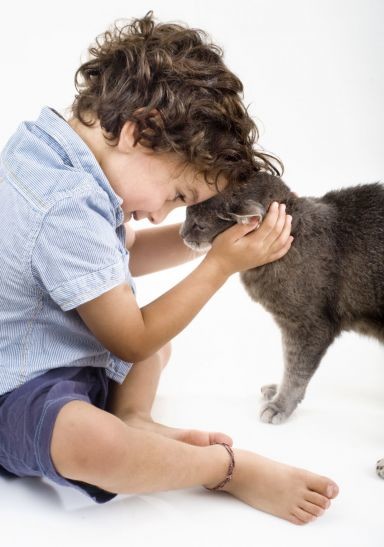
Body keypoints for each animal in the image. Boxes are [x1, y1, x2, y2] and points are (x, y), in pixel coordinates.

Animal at [180, 172, 384, 480]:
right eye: (184, 215)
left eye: (200, 225)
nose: (182, 234)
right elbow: (290, 365)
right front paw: (277, 391)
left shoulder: (307, 325)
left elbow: (296, 369)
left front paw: (280, 405)